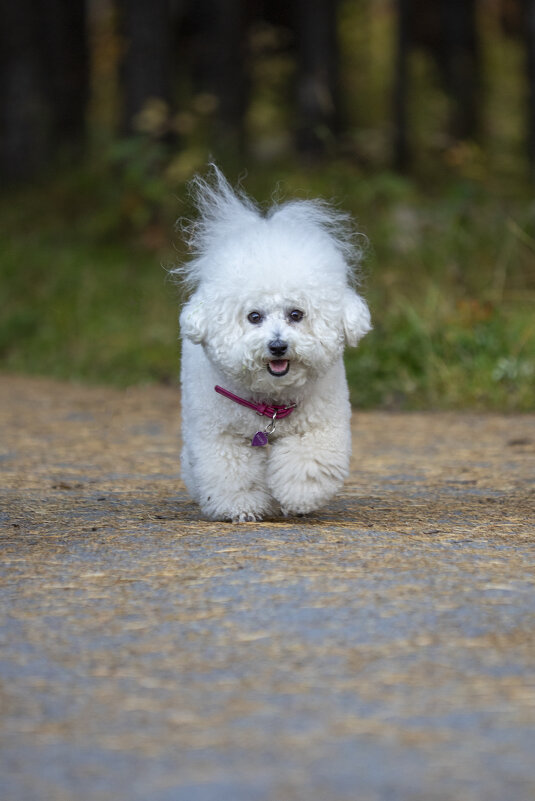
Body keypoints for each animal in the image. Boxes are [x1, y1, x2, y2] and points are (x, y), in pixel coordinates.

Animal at [178, 166, 370, 520]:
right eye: (254, 316)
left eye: (296, 314)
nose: (278, 346)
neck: (271, 404)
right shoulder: (221, 435)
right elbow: (230, 471)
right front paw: (239, 506)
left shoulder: (321, 425)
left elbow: (309, 461)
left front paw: (299, 496)